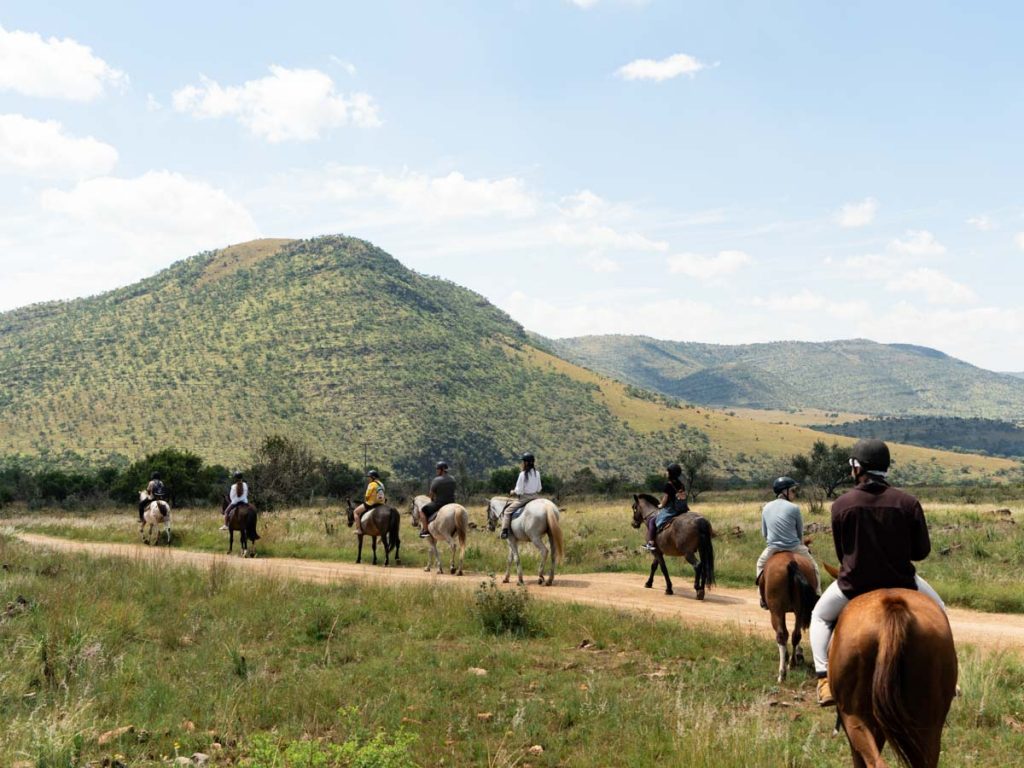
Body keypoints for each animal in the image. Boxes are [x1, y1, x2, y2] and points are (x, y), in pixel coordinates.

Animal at [765, 552, 819, 684]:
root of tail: (791, 561)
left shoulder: (779, 613)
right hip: (799, 610)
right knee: (796, 635)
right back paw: (792, 662)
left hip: (776, 611)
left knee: (781, 636)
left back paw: (782, 673)